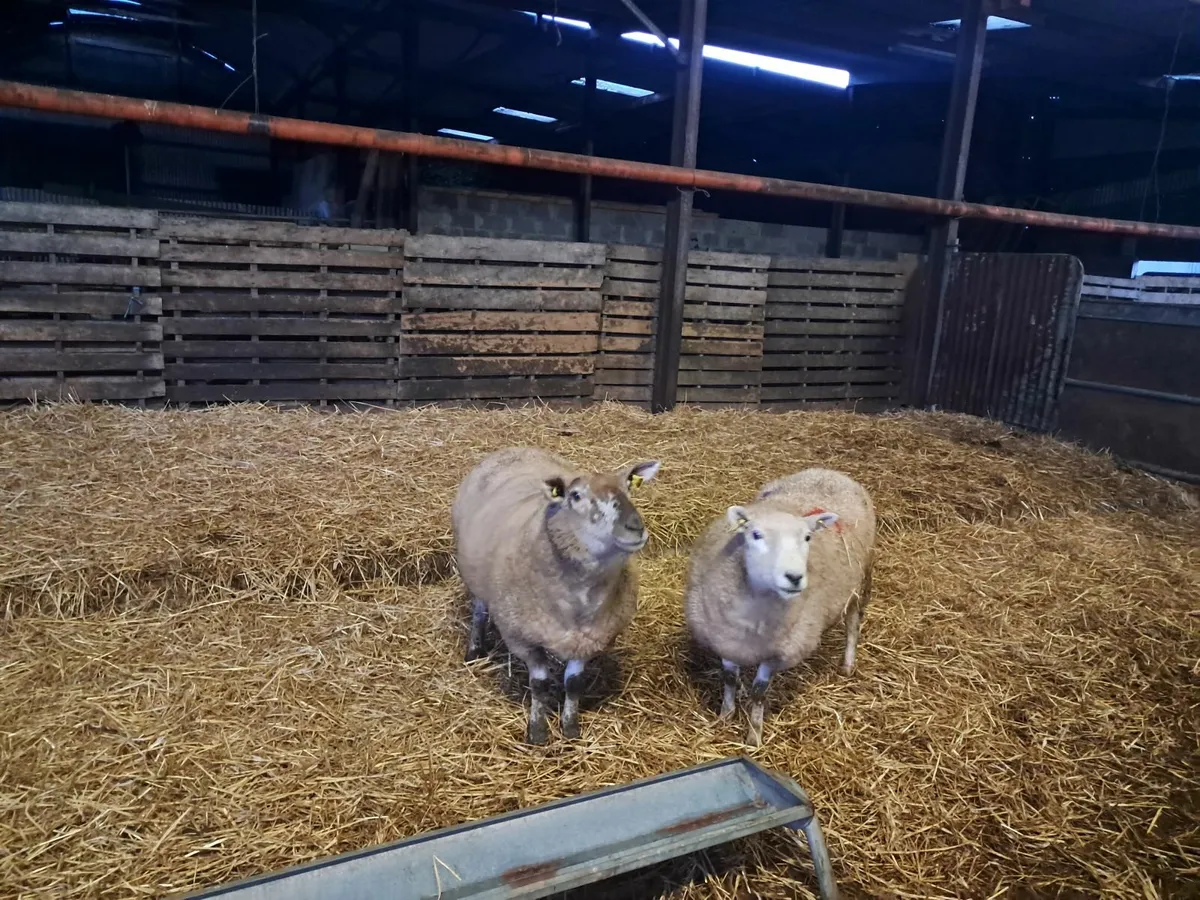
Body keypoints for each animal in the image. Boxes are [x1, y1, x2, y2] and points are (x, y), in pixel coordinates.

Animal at [452, 447, 661, 745]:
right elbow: (539, 685)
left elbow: (573, 684)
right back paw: (474, 649)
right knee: (479, 610)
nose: (634, 526)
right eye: (575, 496)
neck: (580, 601)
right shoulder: (522, 639)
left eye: (629, 486)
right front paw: (538, 731)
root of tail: (514, 448)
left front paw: (570, 727)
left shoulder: (590, 639)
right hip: (475, 575)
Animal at [684, 468, 876, 746]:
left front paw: (754, 736)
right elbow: (729, 679)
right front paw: (725, 717)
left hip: (861, 580)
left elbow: (759, 692)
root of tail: (828, 471)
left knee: (853, 623)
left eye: (807, 537)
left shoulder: (778, 652)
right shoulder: (725, 639)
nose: (794, 577)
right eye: (755, 535)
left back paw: (848, 664)